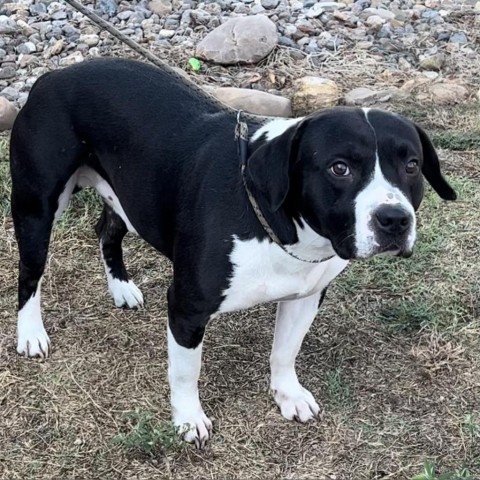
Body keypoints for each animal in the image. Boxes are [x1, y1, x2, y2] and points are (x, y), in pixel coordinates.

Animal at [9, 59, 456, 446]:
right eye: (339, 168)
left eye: (412, 165)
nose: (394, 219)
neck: (281, 226)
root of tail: (55, 75)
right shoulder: (187, 308)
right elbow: (186, 372)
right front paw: (188, 419)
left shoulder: (307, 296)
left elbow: (285, 351)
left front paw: (288, 395)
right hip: (37, 206)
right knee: (30, 272)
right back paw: (31, 333)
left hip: (128, 197)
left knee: (106, 231)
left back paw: (120, 287)